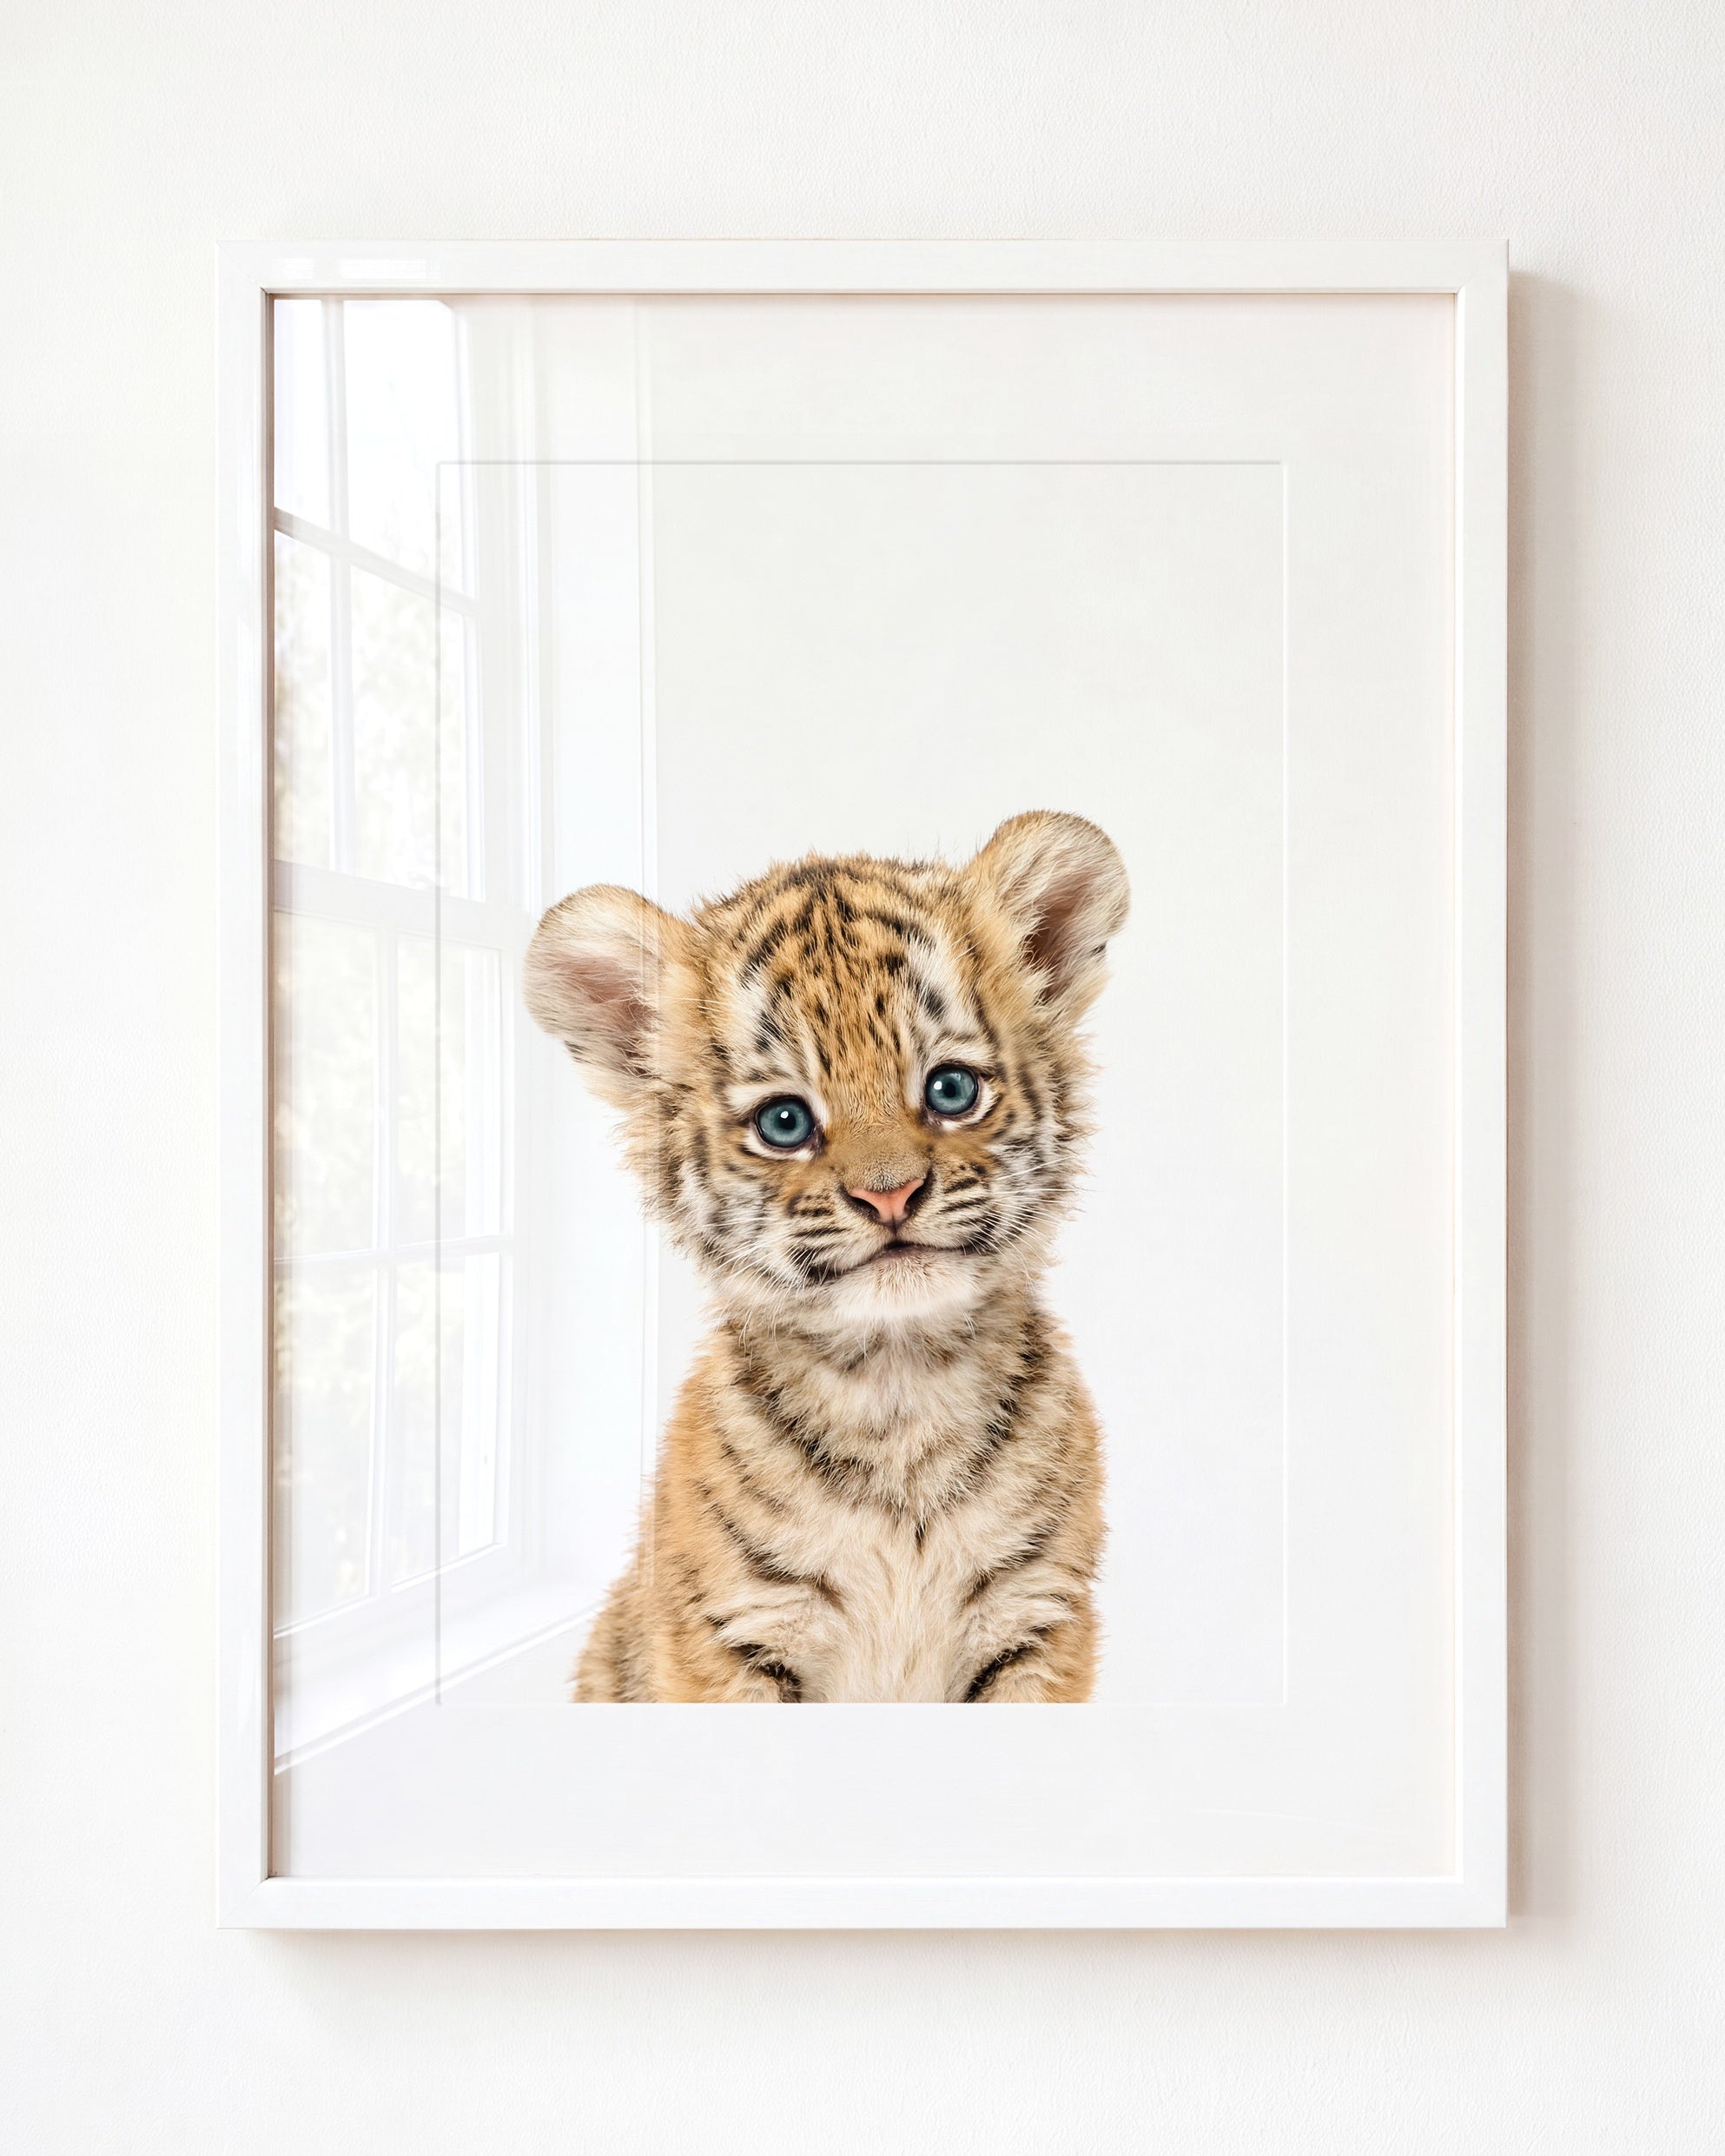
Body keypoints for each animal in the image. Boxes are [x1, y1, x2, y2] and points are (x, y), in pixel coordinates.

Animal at [523, 809, 1129, 1703]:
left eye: (951, 1090)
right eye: (784, 1122)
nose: (890, 1195)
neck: (900, 1390)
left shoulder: (1037, 1619)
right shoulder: (732, 1635)